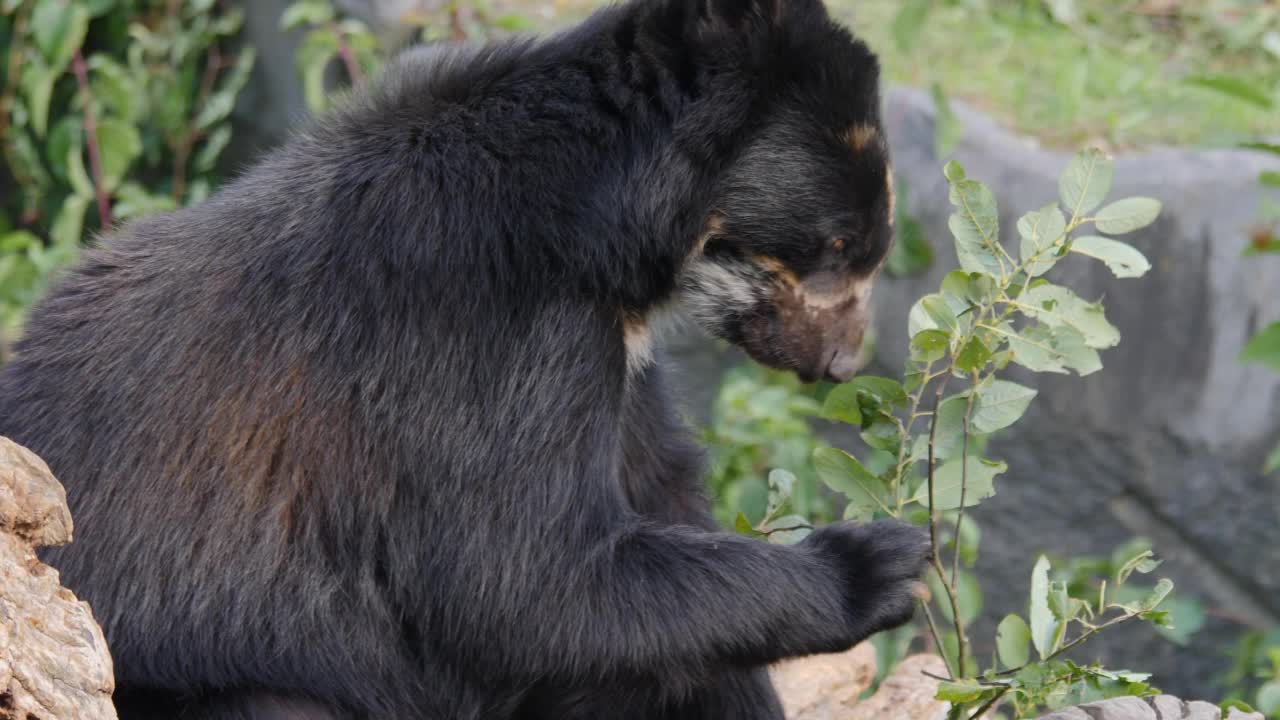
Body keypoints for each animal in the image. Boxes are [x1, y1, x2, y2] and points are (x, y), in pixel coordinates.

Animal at [0, 0, 926, 712]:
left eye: (863, 245)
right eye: (839, 244)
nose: (842, 363)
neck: (605, 236)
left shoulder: (617, 363)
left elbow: (655, 513)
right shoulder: (492, 342)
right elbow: (526, 583)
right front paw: (881, 564)